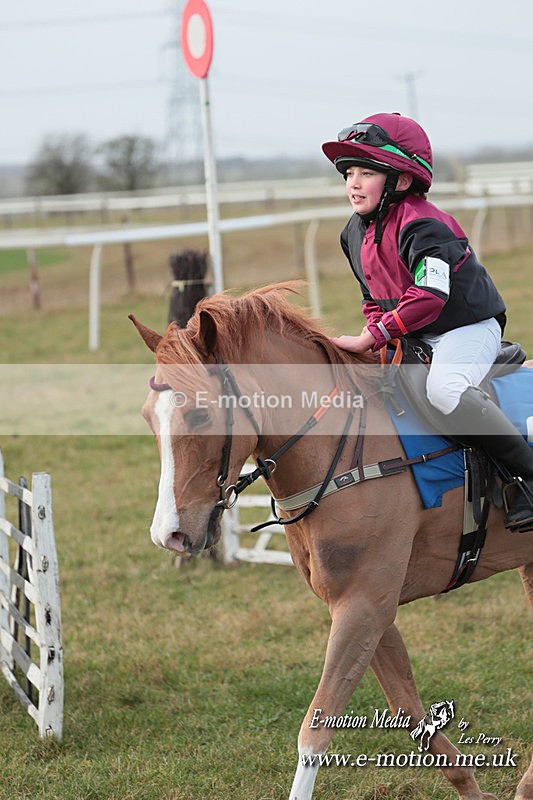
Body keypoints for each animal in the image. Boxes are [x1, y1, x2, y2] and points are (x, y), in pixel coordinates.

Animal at [129, 283, 533, 800]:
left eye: (200, 414)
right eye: (148, 417)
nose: (170, 534)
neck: (339, 454)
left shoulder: (363, 606)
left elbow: (314, 732)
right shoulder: (368, 610)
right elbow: (412, 717)